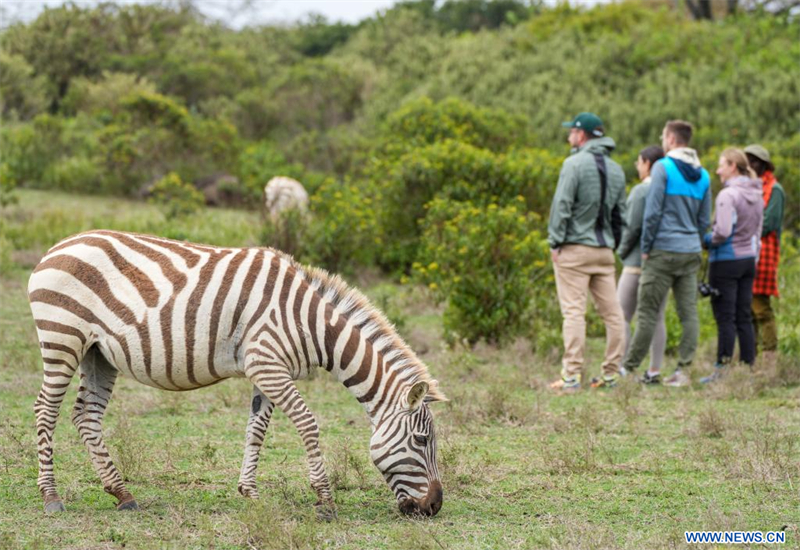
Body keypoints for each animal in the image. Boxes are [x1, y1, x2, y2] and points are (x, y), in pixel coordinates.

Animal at [28, 230, 446, 517]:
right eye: (423, 440)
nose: (435, 506)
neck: (310, 322)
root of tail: (56, 246)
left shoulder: (267, 370)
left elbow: (256, 430)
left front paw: (250, 493)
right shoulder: (268, 363)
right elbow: (308, 423)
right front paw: (325, 500)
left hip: (98, 353)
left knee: (86, 416)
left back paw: (122, 494)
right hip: (62, 338)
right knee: (45, 410)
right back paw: (51, 497)